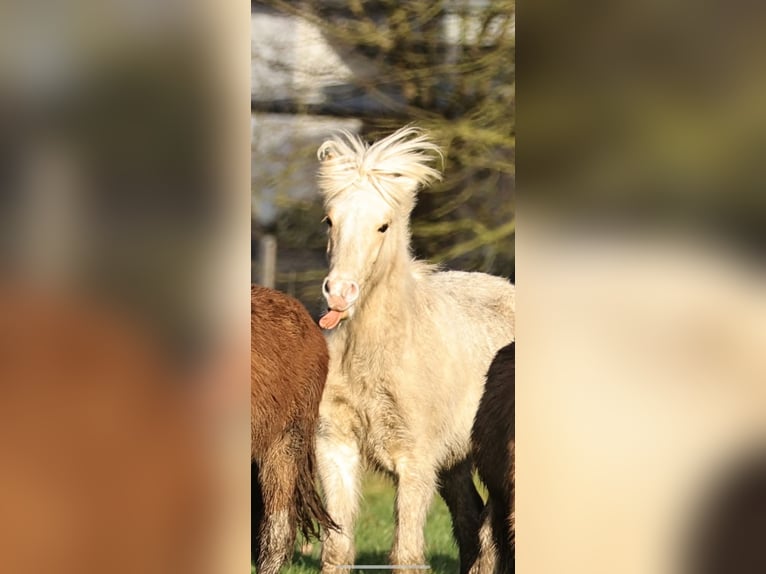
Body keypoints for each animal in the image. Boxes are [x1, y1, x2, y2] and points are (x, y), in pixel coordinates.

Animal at [316, 128, 520, 572]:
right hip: (458, 461)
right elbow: (336, 548)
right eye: (330, 220)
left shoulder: (415, 460)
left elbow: (406, 553)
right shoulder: (336, 446)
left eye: (383, 226)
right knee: (470, 521)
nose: (340, 293)